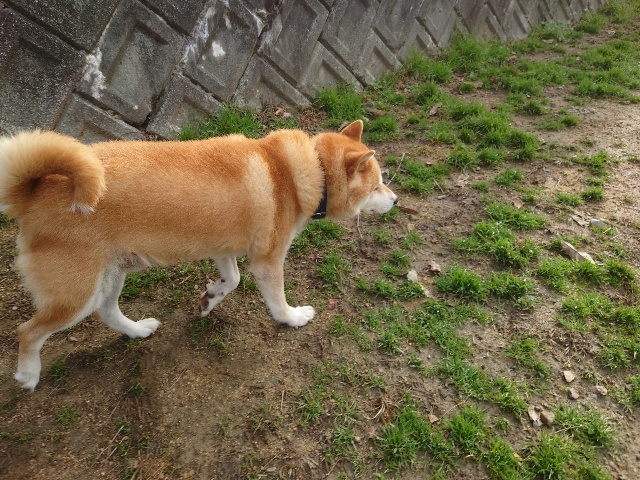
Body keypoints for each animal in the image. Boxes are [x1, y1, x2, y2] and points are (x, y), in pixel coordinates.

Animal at [0, 120, 397, 390]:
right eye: (378, 185)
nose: (396, 200)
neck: (310, 170)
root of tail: (33, 192)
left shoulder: (223, 248)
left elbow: (232, 280)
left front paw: (209, 299)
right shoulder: (268, 262)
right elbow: (278, 302)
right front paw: (294, 318)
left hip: (111, 276)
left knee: (108, 312)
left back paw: (138, 330)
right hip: (76, 295)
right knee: (28, 332)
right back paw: (28, 374)